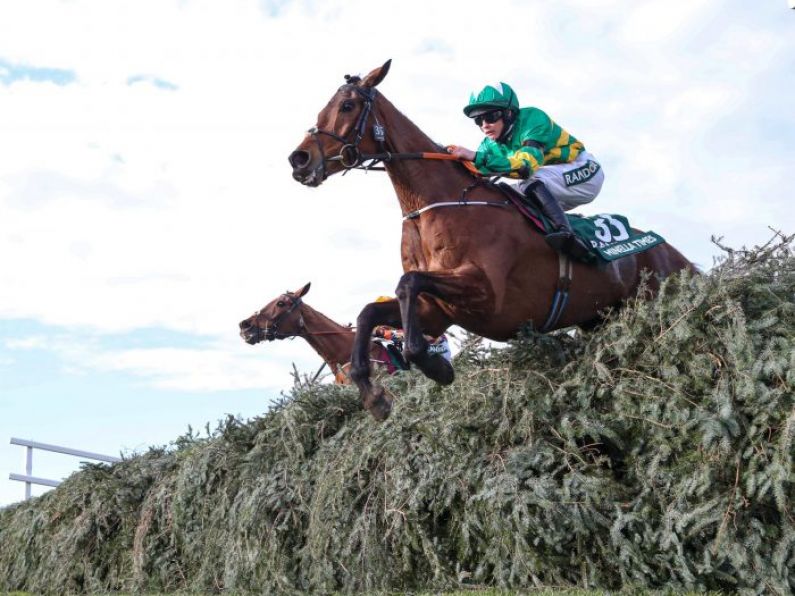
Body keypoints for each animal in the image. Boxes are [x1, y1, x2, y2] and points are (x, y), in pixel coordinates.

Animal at [288, 60, 696, 422]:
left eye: (347, 105)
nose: (299, 159)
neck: (432, 207)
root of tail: (671, 251)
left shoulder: (488, 295)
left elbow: (409, 283)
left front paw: (434, 365)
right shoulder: (436, 310)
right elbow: (369, 312)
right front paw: (373, 394)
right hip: (598, 317)